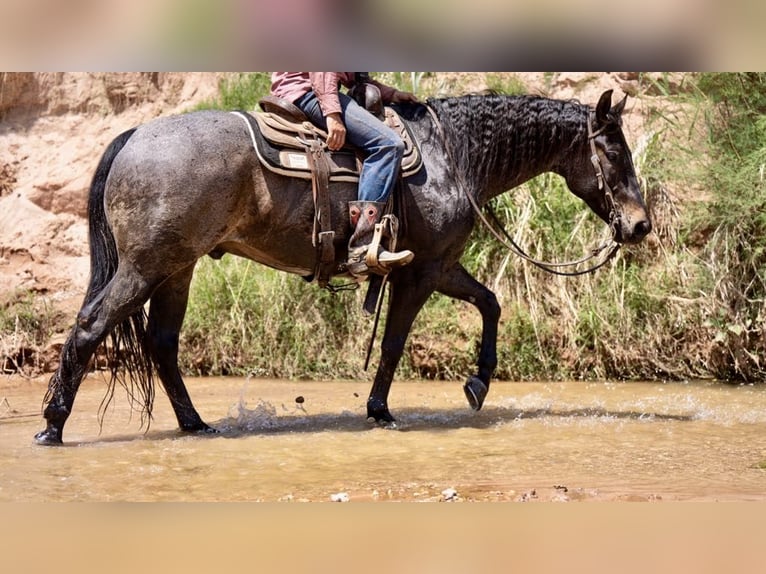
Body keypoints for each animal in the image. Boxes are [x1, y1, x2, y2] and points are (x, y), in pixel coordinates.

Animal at [33, 89, 652, 446]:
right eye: (614, 150)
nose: (641, 225)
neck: (453, 156)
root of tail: (135, 134)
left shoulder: (439, 266)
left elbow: (490, 303)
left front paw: (478, 382)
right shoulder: (421, 272)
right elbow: (396, 342)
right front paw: (380, 410)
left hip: (176, 268)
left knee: (162, 343)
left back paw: (195, 425)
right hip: (146, 266)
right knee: (90, 329)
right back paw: (52, 428)